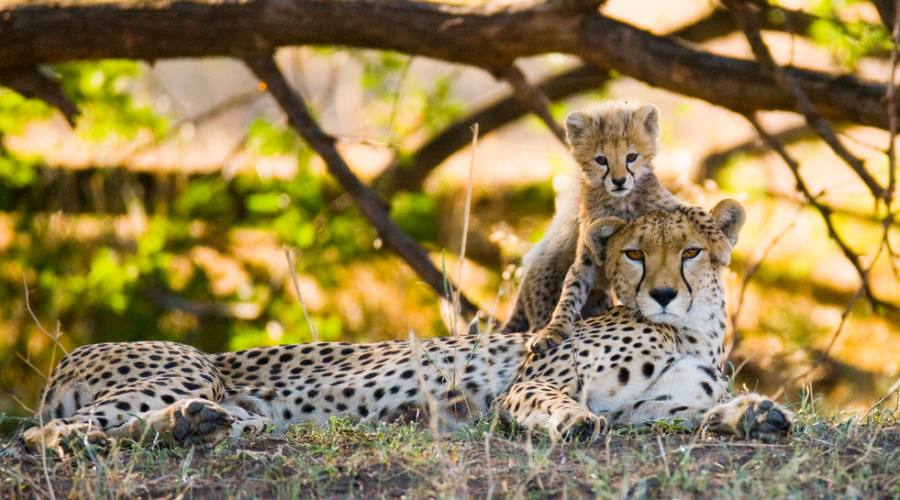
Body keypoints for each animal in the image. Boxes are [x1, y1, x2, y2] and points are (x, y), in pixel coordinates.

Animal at [21, 198, 792, 454]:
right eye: (634, 253)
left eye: (689, 252)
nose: (661, 294)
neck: (691, 331)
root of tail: (72, 355)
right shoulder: (538, 379)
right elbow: (554, 401)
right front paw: (571, 422)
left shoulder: (651, 408)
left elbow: (695, 416)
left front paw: (753, 416)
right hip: (181, 368)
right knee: (42, 434)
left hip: (227, 404)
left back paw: (197, 426)